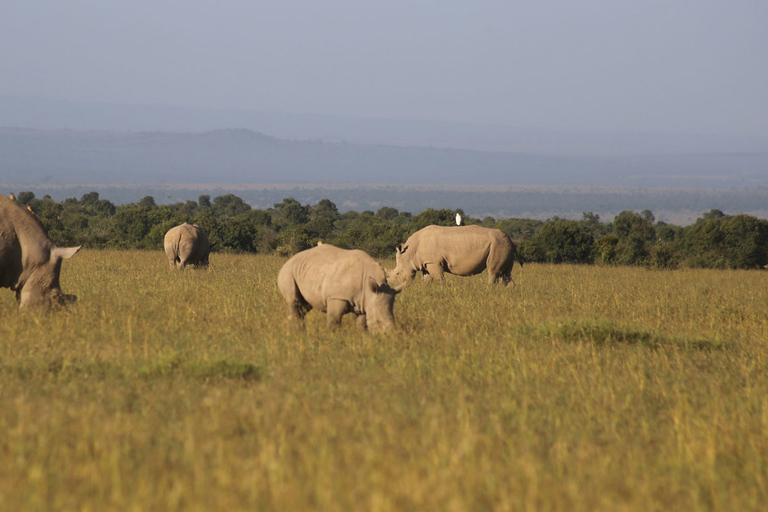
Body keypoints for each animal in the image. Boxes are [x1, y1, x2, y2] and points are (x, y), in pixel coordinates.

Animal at [392, 225, 520, 286]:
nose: (394, 286)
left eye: (398, 273)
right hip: (504, 246)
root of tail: (510, 240)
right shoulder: (426, 263)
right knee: (506, 274)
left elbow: (439, 279)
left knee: (493, 272)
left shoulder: (433, 262)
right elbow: (426, 280)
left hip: (498, 246)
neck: (410, 253)